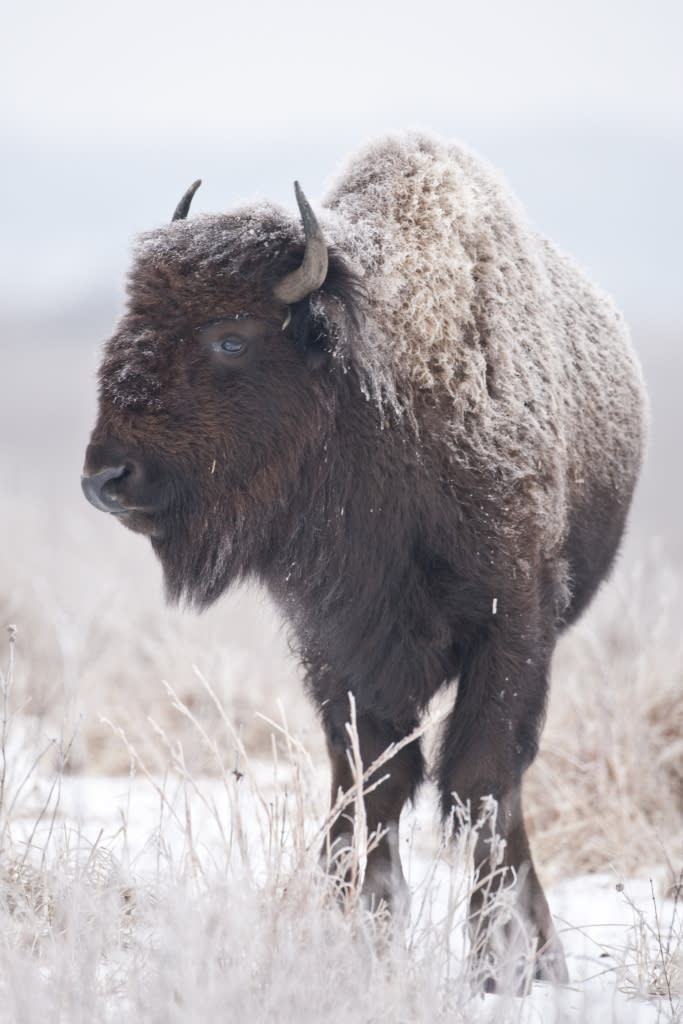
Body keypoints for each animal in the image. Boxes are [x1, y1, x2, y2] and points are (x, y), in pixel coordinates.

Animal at [81, 134, 647, 983]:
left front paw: (503, 966)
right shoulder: (335, 643)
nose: (106, 477)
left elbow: (480, 781)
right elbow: (367, 781)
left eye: (230, 336)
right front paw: (356, 930)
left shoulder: (512, 625)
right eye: (132, 318)